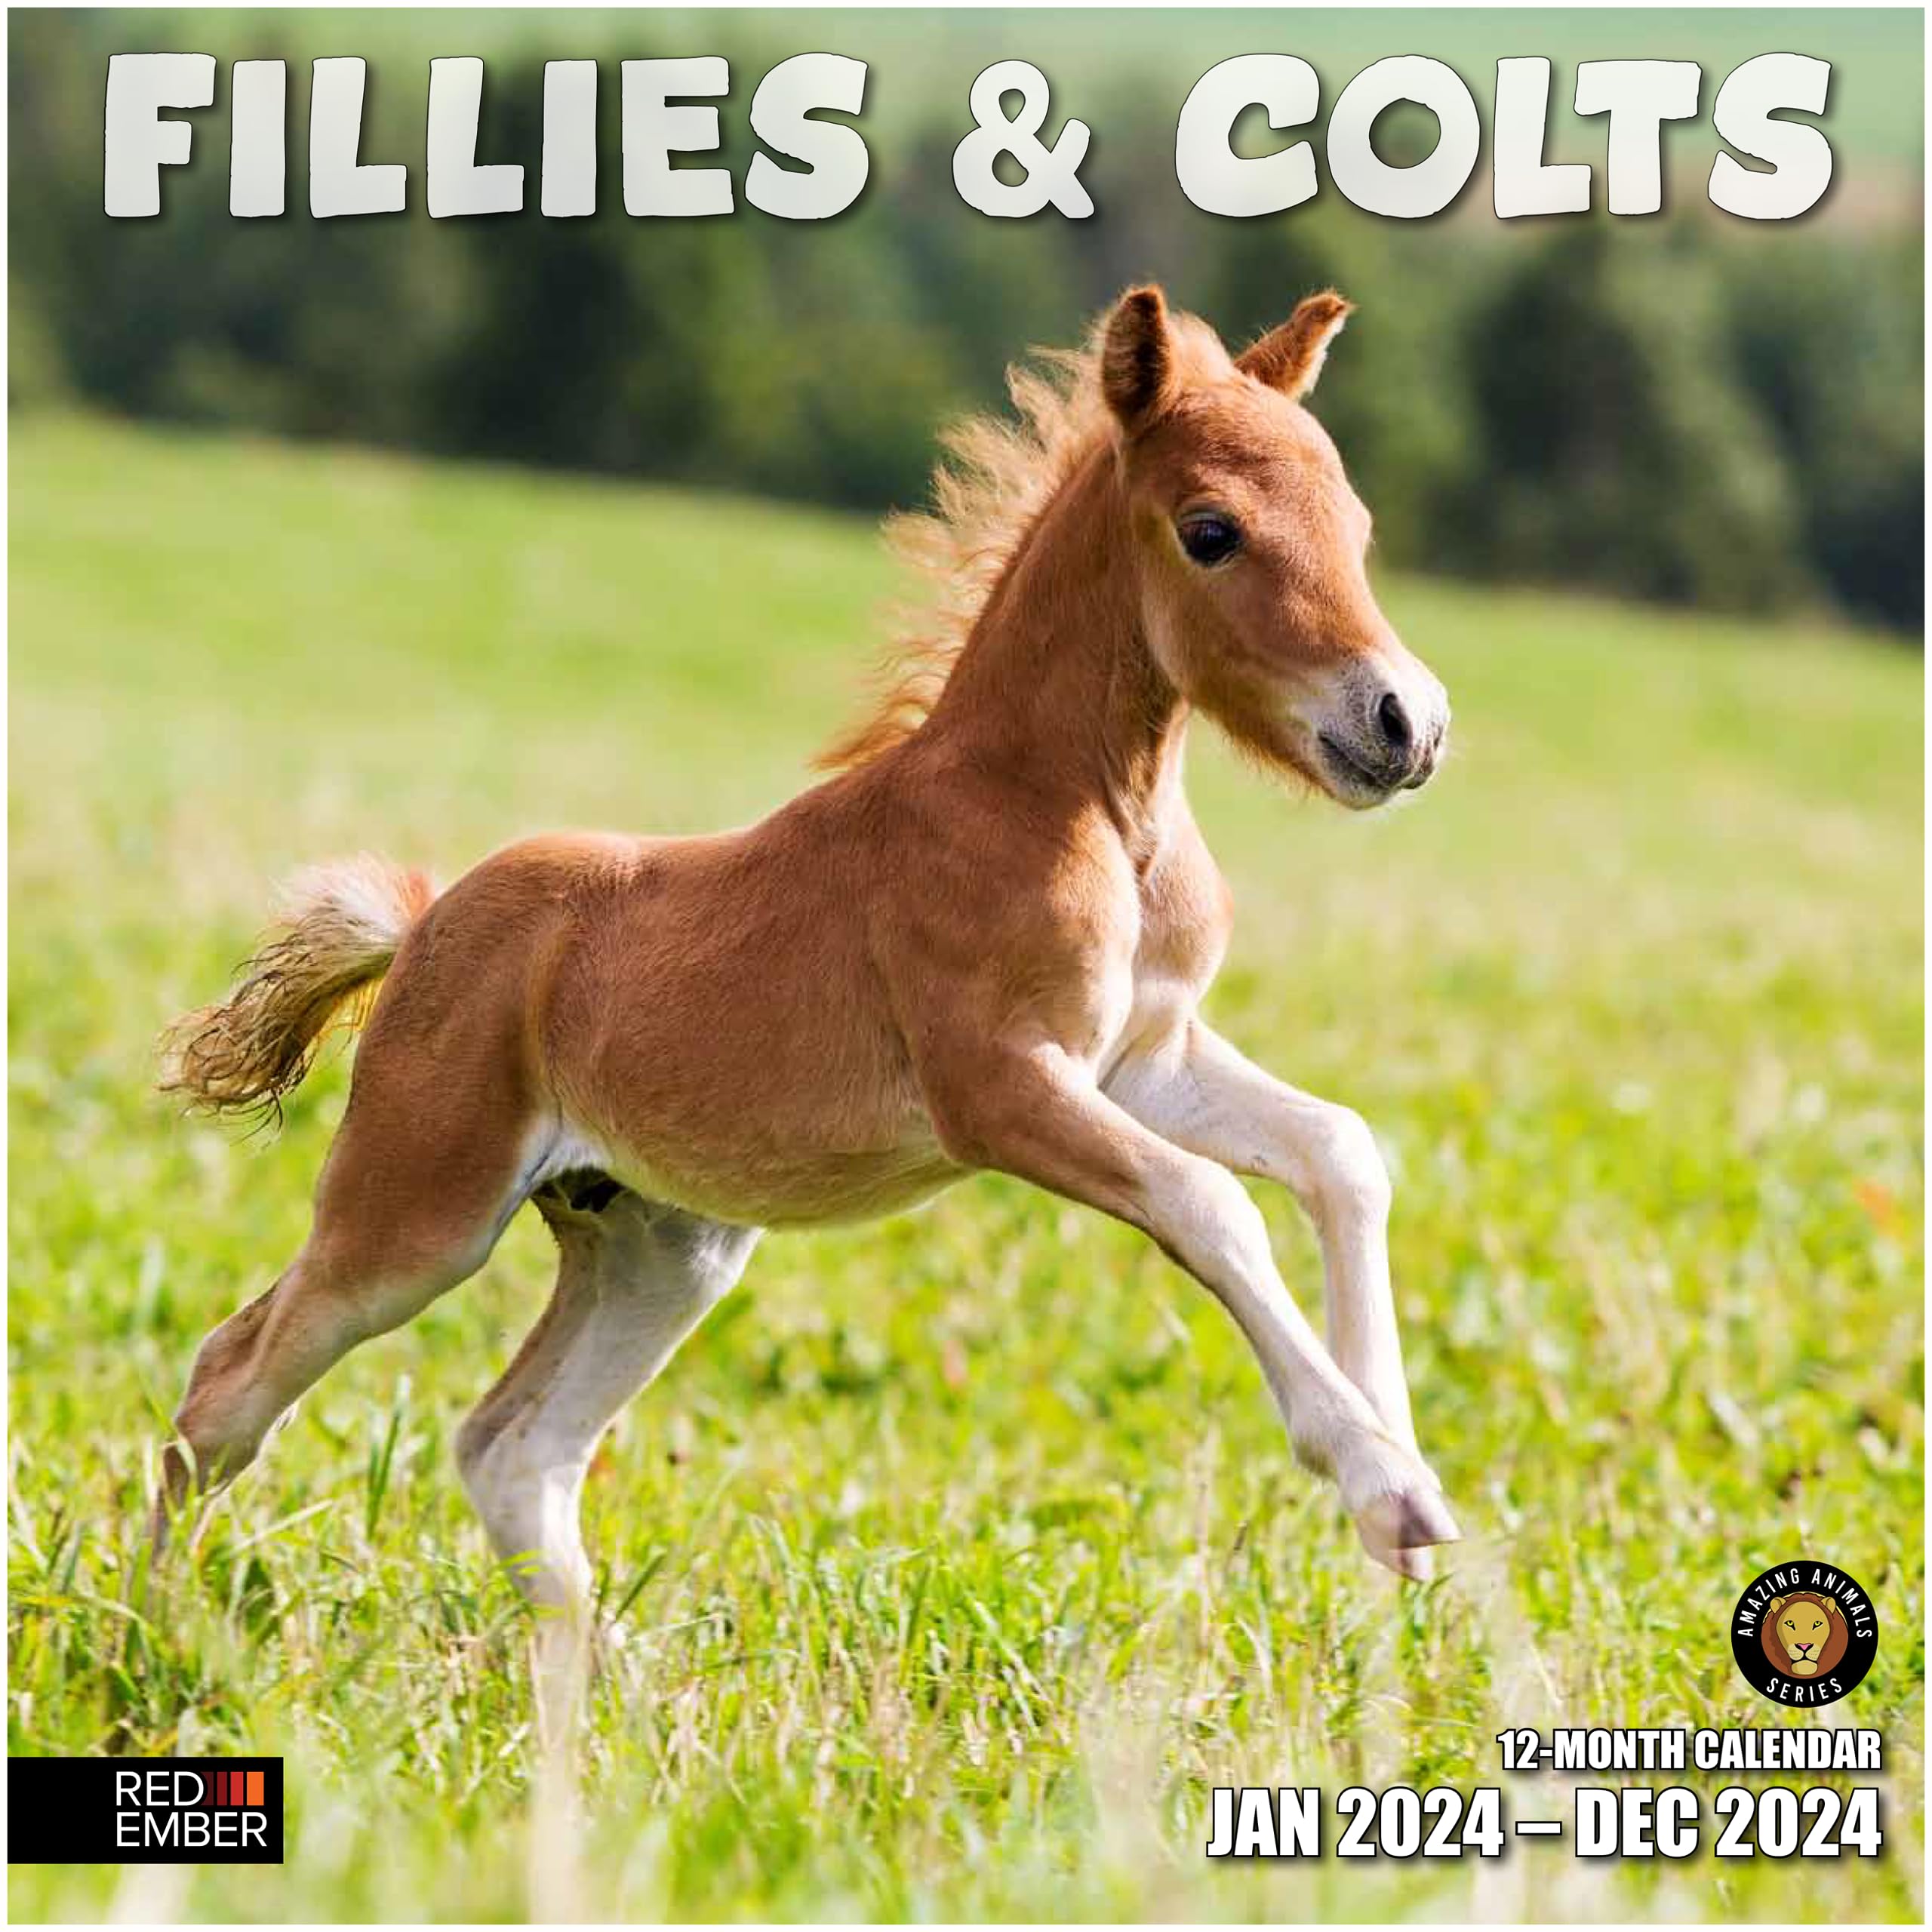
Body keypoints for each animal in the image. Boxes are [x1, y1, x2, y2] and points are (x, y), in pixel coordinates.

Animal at [156, 286, 1458, 1660]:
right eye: (1213, 531)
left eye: (1358, 528)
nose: (1404, 724)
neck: (1080, 809)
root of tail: (418, 934)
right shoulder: (998, 1087)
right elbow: (1212, 1204)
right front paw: (1386, 1482)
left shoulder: (1141, 1057)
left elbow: (1339, 1150)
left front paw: (1398, 1477)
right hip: (418, 1214)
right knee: (228, 1384)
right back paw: (159, 1630)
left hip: (660, 1247)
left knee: (515, 1448)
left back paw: (598, 1688)